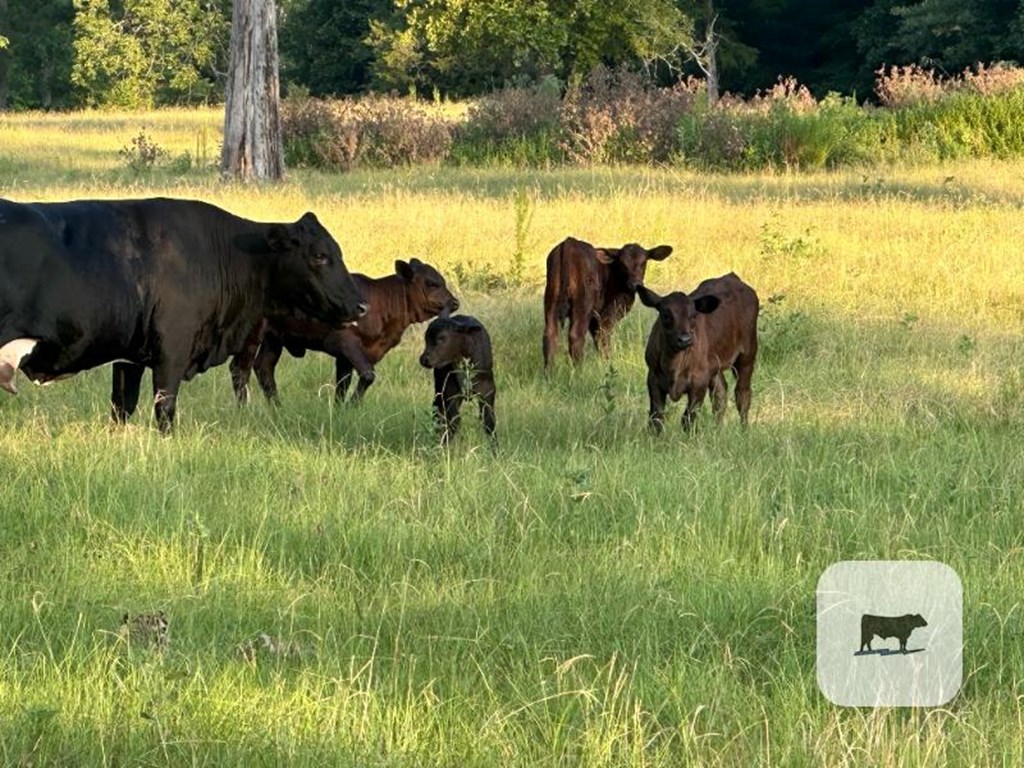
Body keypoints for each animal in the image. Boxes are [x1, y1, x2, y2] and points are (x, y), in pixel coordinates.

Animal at [0, 196, 368, 434]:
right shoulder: (171, 352)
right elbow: (165, 410)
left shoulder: (129, 358)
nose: (361, 306)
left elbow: (122, 407)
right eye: (319, 255)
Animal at [234, 259, 458, 403]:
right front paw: (353, 405)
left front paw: (342, 409)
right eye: (431, 283)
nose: (454, 302)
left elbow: (342, 385)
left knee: (264, 368)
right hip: (252, 333)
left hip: (274, 338)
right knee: (240, 370)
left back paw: (277, 408)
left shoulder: (346, 357)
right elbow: (367, 376)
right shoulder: (344, 342)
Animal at [417, 313, 493, 444]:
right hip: (440, 389)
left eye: (441, 338)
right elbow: (453, 421)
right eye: (426, 339)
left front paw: (495, 448)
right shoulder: (450, 392)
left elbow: (489, 422)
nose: (424, 359)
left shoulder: (487, 390)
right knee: (438, 412)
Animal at [540, 237, 675, 372]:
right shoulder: (609, 312)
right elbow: (604, 338)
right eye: (623, 264)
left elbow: (597, 338)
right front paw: (607, 365)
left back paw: (548, 372)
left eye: (643, 262)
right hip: (583, 305)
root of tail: (569, 243)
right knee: (576, 335)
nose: (635, 284)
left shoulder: (595, 317)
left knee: (549, 334)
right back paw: (579, 371)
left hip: (550, 300)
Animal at [638, 274, 761, 434]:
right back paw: (717, 430)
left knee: (742, 394)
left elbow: (688, 418)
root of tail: (732, 277)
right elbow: (656, 417)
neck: (673, 364)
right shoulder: (653, 379)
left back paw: (743, 430)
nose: (685, 339)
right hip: (715, 365)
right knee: (720, 394)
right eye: (666, 315)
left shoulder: (699, 381)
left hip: (748, 354)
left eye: (693, 316)